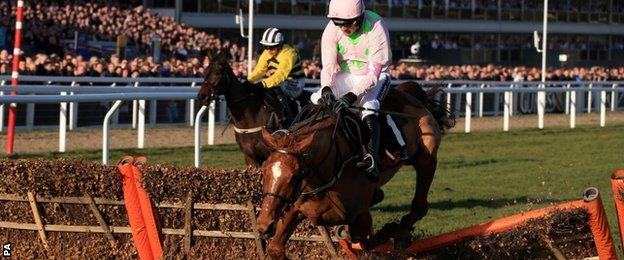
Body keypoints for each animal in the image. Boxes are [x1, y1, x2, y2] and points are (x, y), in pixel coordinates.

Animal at [254, 83, 454, 258]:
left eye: (295, 175)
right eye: (264, 171)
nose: (264, 224)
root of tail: (408, 92)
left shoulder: (359, 215)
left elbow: (367, 241)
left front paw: (392, 230)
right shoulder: (298, 207)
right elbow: (274, 248)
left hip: (425, 158)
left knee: (420, 206)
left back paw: (402, 231)